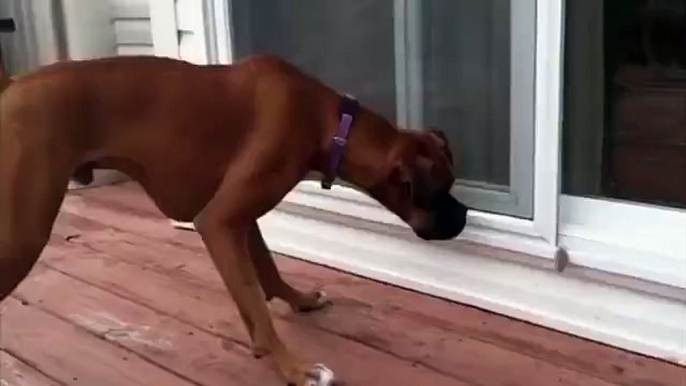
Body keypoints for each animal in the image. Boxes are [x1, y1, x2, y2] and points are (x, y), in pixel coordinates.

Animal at [0, 55, 470, 386]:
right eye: (441, 188)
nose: (464, 214)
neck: (330, 121)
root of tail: (11, 86)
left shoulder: (241, 220)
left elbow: (266, 274)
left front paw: (298, 302)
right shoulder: (219, 221)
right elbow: (255, 301)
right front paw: (294, 368)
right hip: (23, 234)